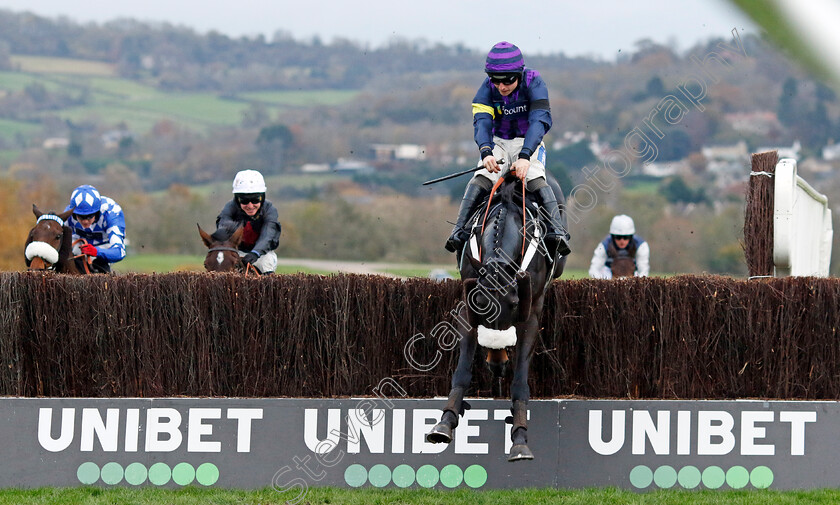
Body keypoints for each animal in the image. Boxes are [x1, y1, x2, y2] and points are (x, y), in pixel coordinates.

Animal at [424, 173, 568, 460]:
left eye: (514, 304)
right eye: (481, 303)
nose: (498, 360)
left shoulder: (530, 313)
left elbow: (520, 379)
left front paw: (520, 438)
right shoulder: (468, 307)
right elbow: (462, 370)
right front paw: (445, 422)